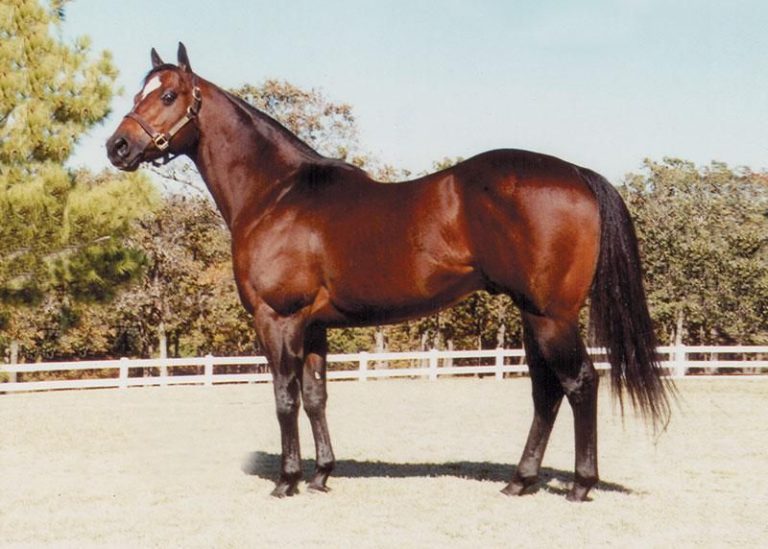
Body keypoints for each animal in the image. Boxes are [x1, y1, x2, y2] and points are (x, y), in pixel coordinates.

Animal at [106, 43, 670, 501]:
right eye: (139, 91)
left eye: (169, 95)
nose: (118, 147)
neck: (277, 194)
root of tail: (577, 174)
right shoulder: (314, 325)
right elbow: (315, 397)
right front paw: (321, 474)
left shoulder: (278, 318)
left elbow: (284, 397)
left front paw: (287, 481)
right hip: (534, 315)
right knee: (546, 391)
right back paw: (520, 480)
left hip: (551, 316)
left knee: (580, 384)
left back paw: (579, 485)